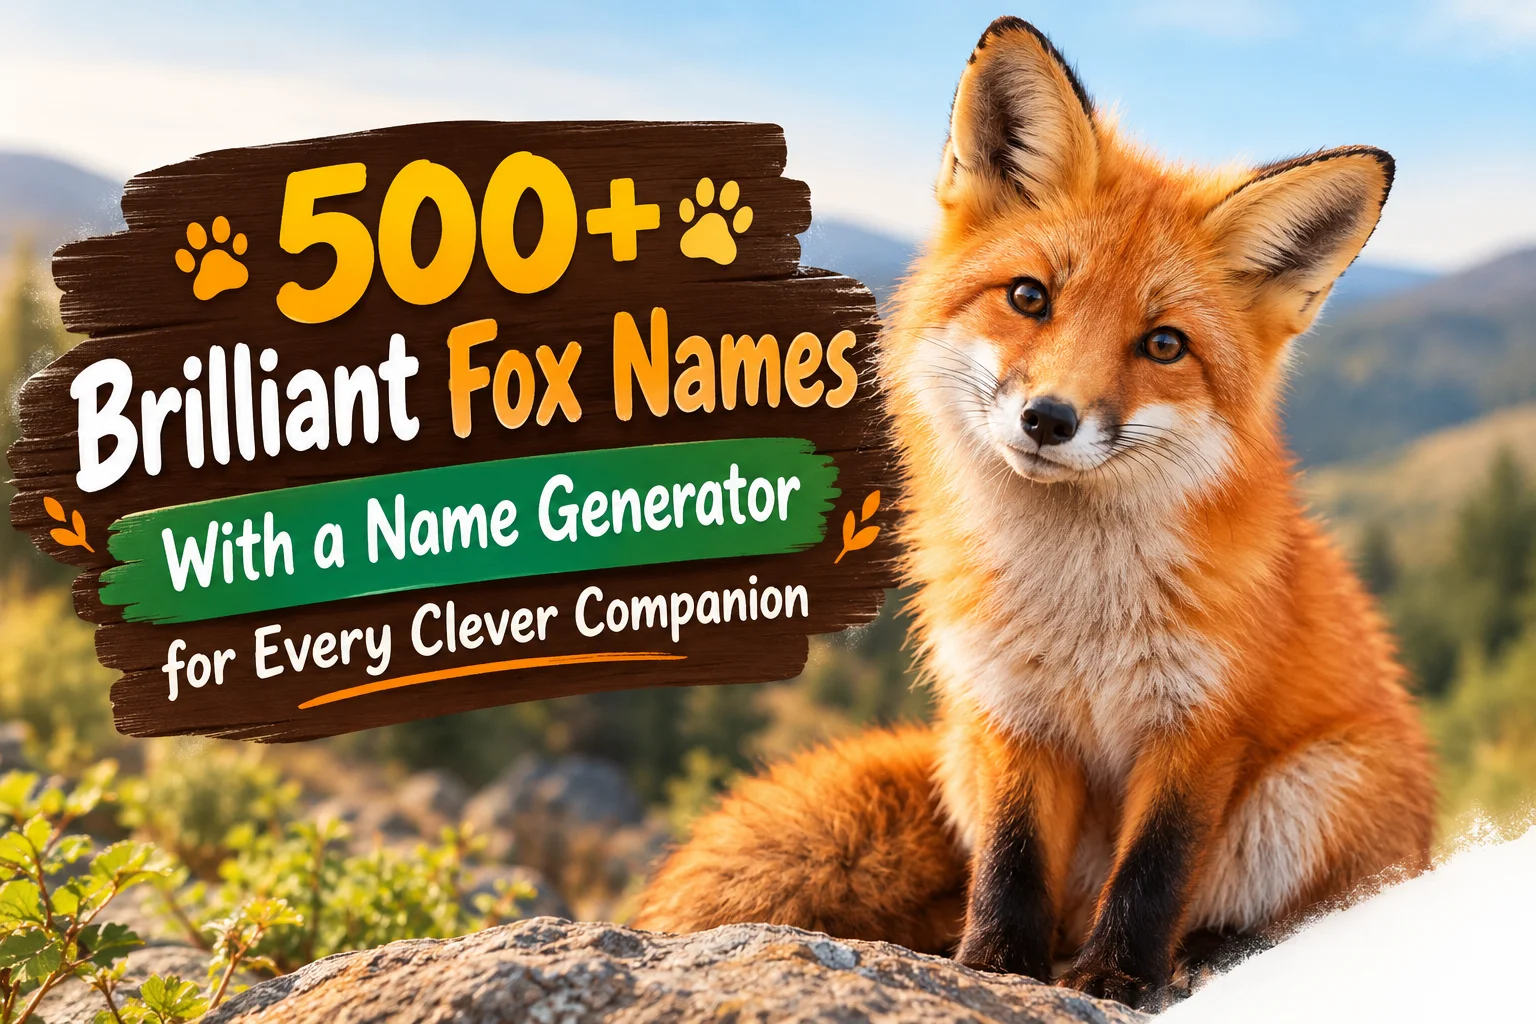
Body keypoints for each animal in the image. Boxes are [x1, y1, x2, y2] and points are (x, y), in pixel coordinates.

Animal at [633, 16, 1435, 1008]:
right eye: (1029, 296)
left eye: (1163, 345)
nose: (1049, 419)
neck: (1078, 606)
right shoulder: (1008, 710)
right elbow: (1012, 862)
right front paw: (991, 967)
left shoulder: (1200, 726)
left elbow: (1153, 872)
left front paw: (1116, 979)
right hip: (961, 757)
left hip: (1316, 791)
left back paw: (1207, 955)